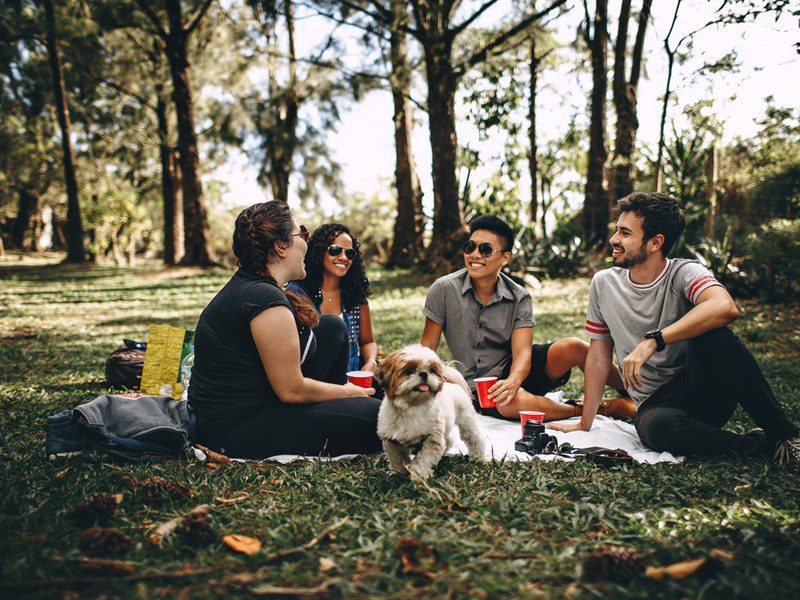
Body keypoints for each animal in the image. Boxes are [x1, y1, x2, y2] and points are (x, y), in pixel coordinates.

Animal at [376, 344, 484, 480]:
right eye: (409, 371)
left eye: (432, 371)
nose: (424, 374)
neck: (411, 407)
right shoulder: (391, 441)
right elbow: (397, 459)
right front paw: (398, 473)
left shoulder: (432, 439)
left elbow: (423, 459)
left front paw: (419, 475)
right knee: (448, 440)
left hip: (466, 421)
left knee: (475, 439)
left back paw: (478, 457)